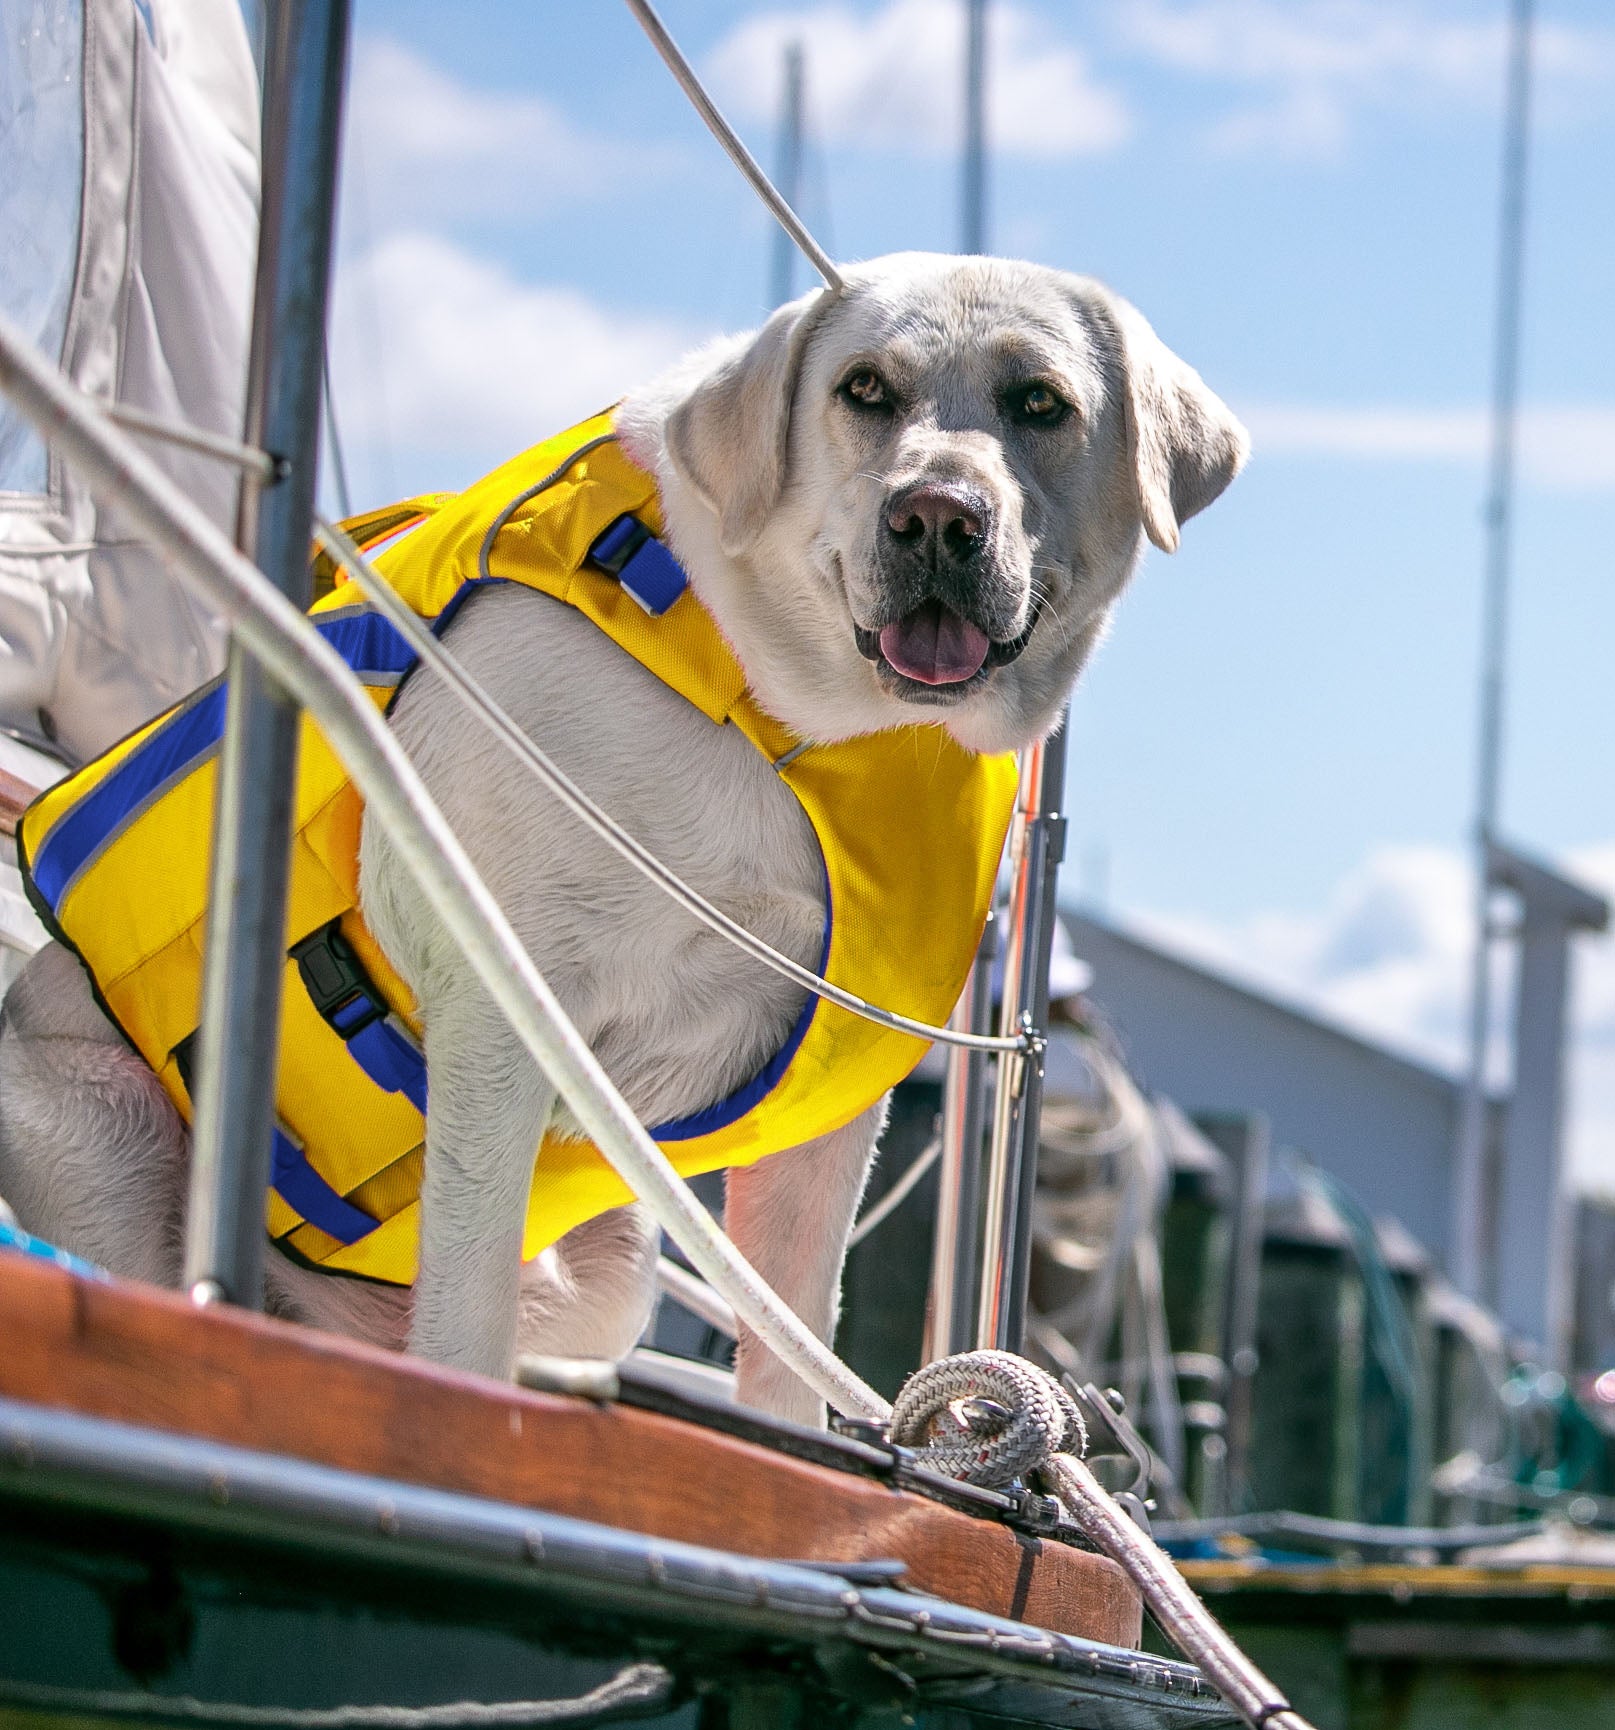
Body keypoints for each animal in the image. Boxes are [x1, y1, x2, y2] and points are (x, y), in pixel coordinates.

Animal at [0, 252, 1251, 1418]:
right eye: (864, 388)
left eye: (1040, 401)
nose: (936, 513)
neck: (791, 718)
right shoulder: (503, 1002)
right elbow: (464, 1316)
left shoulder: (835, 1102)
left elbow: (790, 1336)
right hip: (105, 1137)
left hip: (609, 1271)